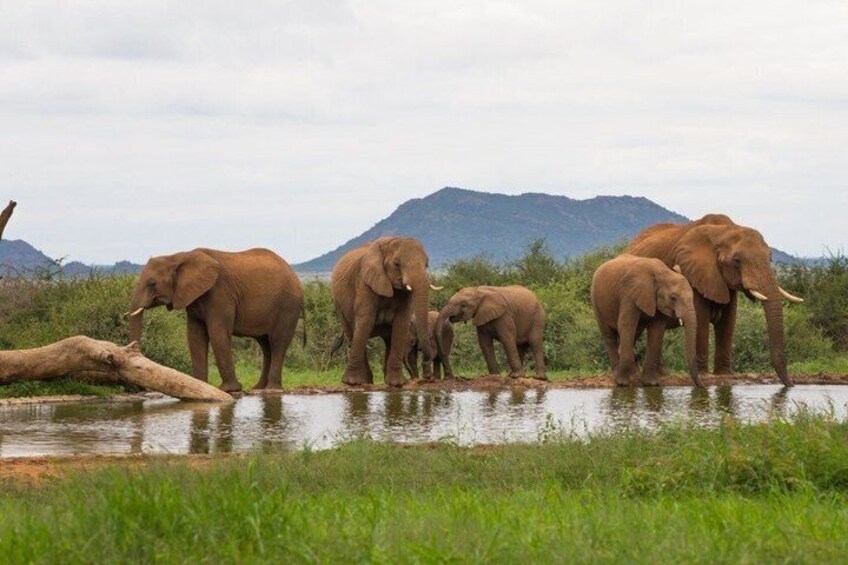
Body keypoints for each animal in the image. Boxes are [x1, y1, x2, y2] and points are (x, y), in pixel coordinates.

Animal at [128, 248, 304, 392]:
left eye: (152, 283)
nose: (140, 388)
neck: (178, 256)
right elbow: (194, 336)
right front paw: (199, 385)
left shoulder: (220, 293)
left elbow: (217, 333)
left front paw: (229, 389)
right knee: (265, 345)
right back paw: (259, 388)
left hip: (288, 306)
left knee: (277, 343)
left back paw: (272, 389)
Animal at [331, 237, 440, 387]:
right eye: (397, 264)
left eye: (427, 264)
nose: (427, 376)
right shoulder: (365, 283)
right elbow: (365, 322)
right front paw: (351, 382)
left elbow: (401, 325)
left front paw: (396, 384)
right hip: (340, 307)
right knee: (353, 334)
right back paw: (364, 382)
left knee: (388, 340)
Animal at [590, 254, 703, 387]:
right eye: (673, 298)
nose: (701, 386)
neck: (663, 273)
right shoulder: (629, 293)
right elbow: (626, 324)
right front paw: (622, 382)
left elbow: (657, 331)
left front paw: (651, 383)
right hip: (596, 301)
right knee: (609, 336)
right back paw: (617, 374)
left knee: (633, 335)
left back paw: (633, 374)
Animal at [627, 213, 803, 386]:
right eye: (736, 260)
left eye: (770, 258)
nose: (791, 385)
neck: (723, 231)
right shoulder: (694, 275)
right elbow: (701, 320)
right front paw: (704, 375)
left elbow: (728, 321)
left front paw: (724, 374)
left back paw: (661, 374)